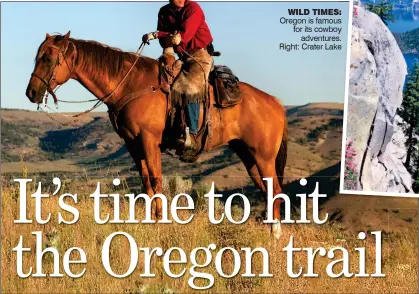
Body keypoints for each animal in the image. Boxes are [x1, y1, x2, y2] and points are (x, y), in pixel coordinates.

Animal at [25, 31, 288, 239]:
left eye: (48, 58)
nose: (31, 93)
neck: (130, 84)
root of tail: (275, 102)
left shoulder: (149, 140)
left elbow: (156, 181)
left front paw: (160, 224)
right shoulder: (133, 144)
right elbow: (146, 185)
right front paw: (151, 224)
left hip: (263, 157)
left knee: (275, 190)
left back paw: (275, 236)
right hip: (248, 156)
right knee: (267, 190)